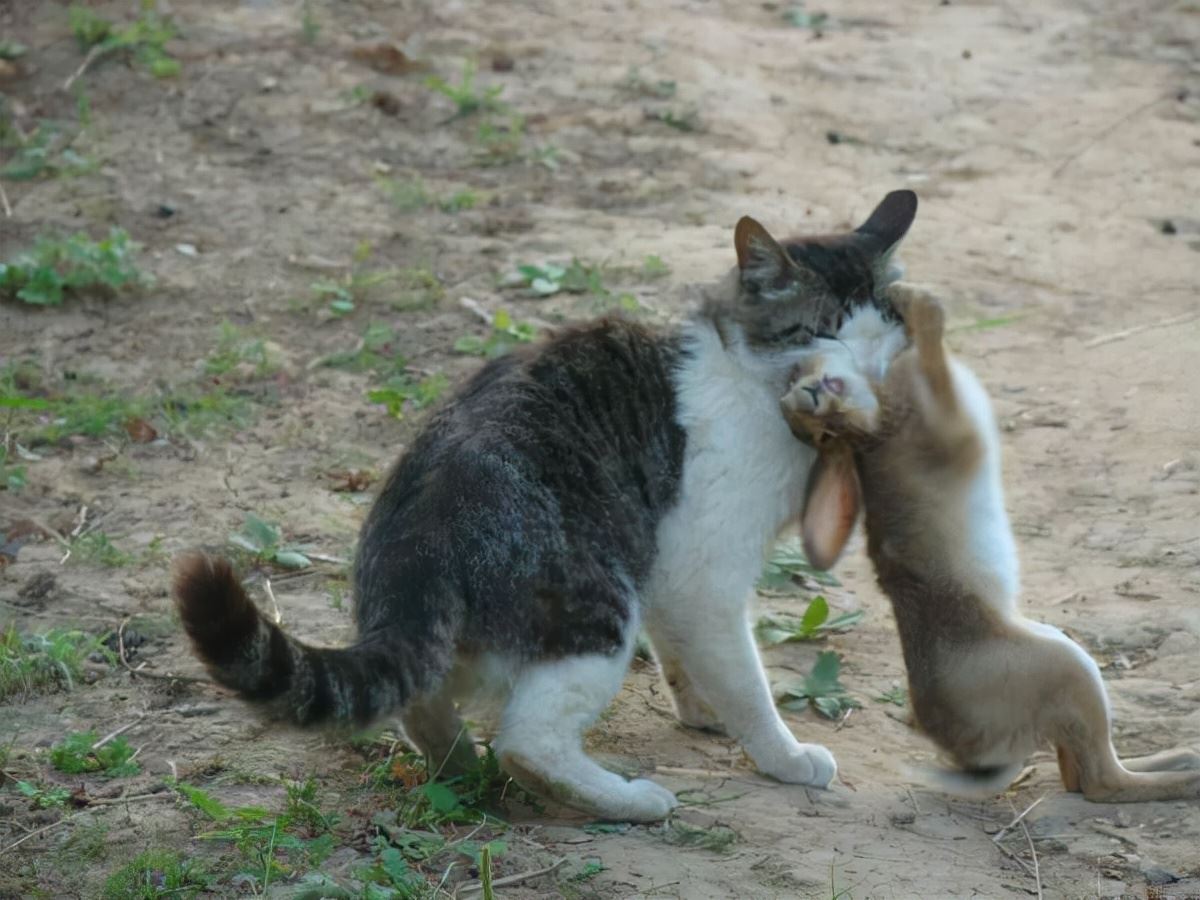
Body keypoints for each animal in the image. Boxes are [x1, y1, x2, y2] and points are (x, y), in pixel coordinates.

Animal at [174, 190, 912, 825]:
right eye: (824, 333)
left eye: (885, 333)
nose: (854, 375)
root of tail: (420, 539)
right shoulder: (704, 571)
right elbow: (745, 680)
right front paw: (784, 756)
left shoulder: (666, 563)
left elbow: (686, 651)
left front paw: (700, 705)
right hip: (599, 602)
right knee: (527, 743)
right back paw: (629, 800)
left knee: (424, 701)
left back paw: (459, 770)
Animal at [777, 289, 1200, 801]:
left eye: (824, 432)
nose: (809, 395)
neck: (874, 422)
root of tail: (985, 760)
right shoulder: (945, 421)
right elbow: (934, 355)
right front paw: (918, 302)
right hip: (1069, 669)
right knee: (1099, 781)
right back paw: (1187, 776)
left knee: (1076, 773)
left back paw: (1180, 757)